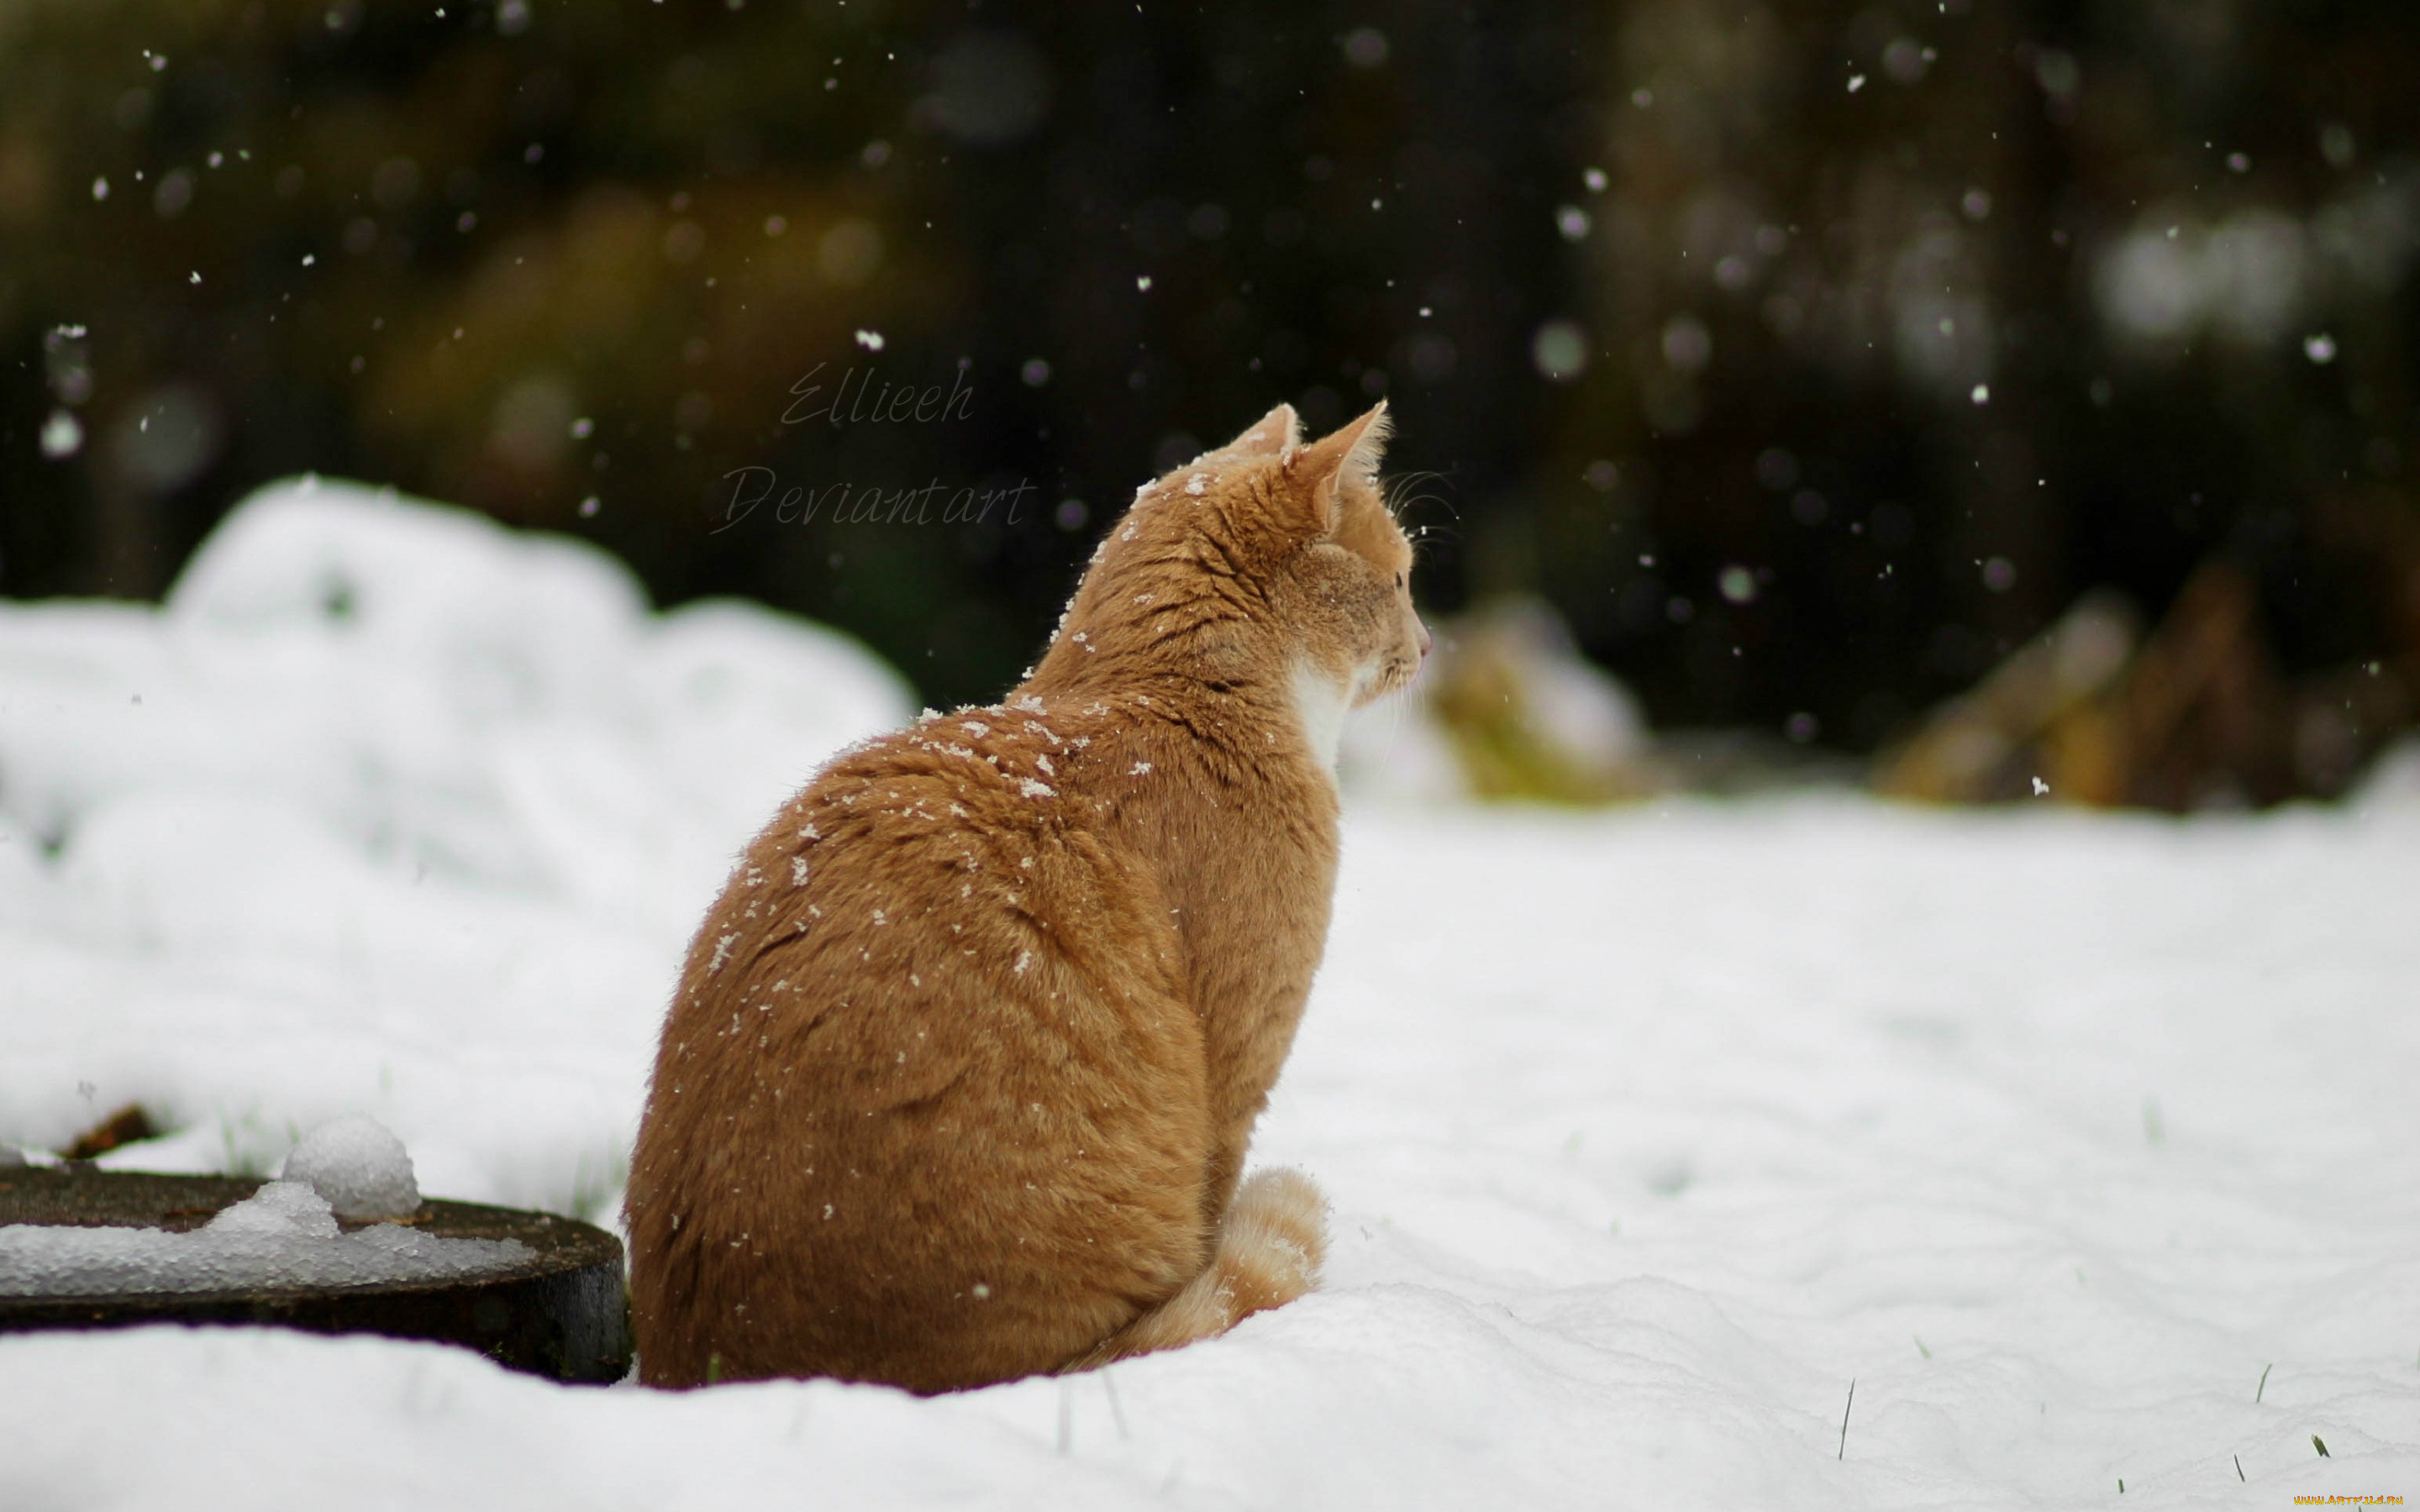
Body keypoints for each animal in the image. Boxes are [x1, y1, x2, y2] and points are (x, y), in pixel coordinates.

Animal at [624, 402, 1423, 1393]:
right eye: (1402, 579)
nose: (1427, 646)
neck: (1169, 699)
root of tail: (716, 1366)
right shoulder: (1237, 1072)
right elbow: (1217, 1208)